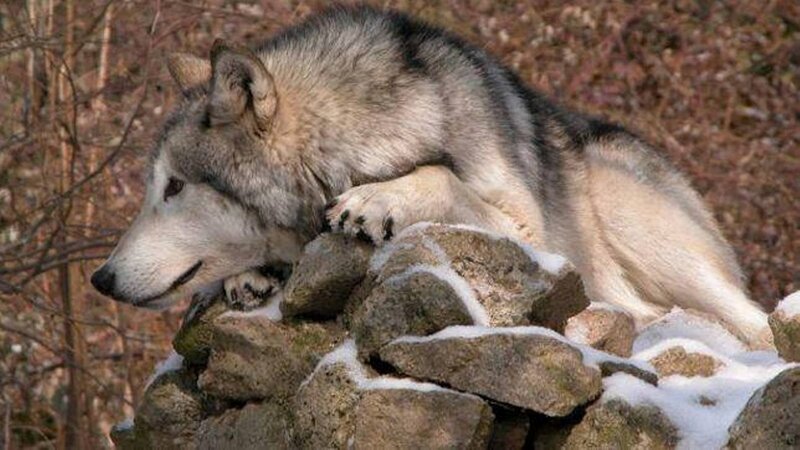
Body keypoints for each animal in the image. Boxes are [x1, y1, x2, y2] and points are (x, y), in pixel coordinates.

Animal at [90, 6, 769, 345]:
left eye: (174, 187)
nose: (100, 279)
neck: (361, 129)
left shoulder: (533, 236)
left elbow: (440, 176)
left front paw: (374, 201)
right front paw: (248, 276)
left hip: (628, 216)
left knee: (744, 322)